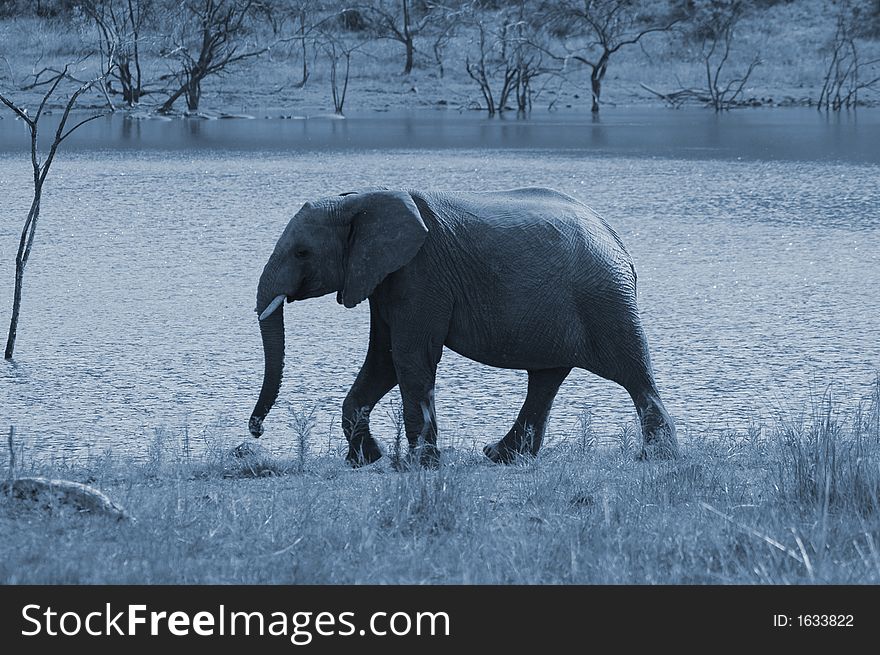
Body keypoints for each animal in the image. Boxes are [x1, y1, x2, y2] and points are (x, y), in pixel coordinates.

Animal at [249, 187, 680, 468]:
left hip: (605, 299)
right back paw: (501, 457)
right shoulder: (385, 278)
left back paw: (657, 458)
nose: (255, 432)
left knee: (633, 373)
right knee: (545, 378)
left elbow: (408, 355)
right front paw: (367, 460)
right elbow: (383, 358)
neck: (359, 200)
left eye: (302, 252)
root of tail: (616, 238)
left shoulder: (420, 274)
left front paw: (418, 466)